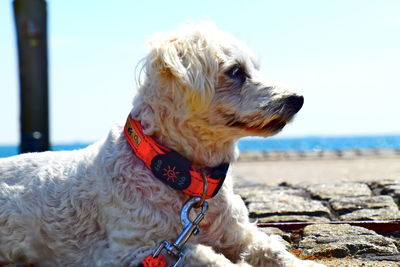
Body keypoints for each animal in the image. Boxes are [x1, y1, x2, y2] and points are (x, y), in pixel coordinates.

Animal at [0, 24, 324, 266]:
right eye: (236, 71)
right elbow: (206, 257)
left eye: (254, 69)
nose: (297, 99)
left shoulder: (239, 234)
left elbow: (272, 249)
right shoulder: (134, 251)